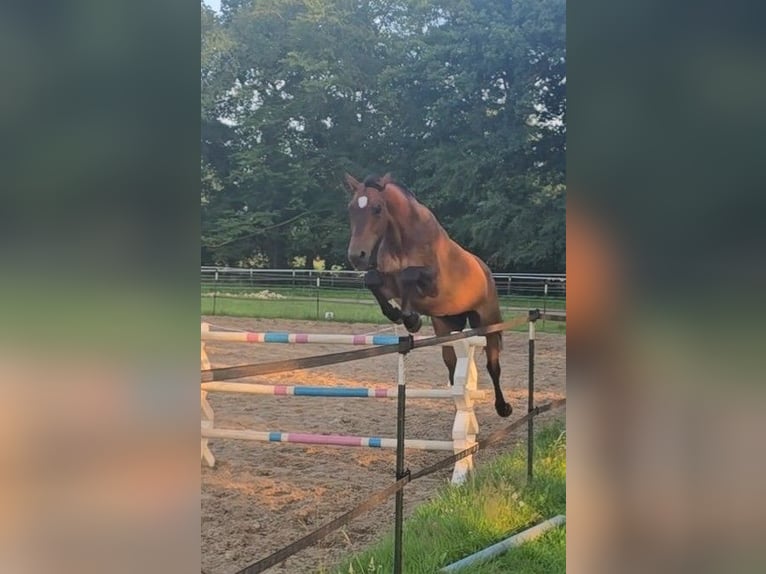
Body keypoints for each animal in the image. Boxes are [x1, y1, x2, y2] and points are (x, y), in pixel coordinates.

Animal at [344, 173, 512, 417]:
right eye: (351, 208)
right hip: (446, 324)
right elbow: (373, 279)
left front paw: (411, 319)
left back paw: (503, 407)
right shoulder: (388, 282)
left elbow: (409, 275)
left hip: (487, 323)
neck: (403, 241)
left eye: (377, 208)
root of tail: (485, 270)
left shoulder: (433, 284)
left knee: (493, 364)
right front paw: (400, 315)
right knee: (452, 363)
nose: (357, 256)